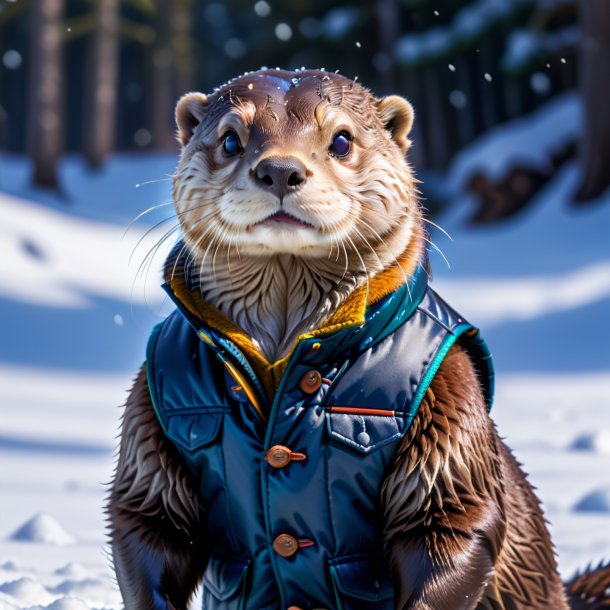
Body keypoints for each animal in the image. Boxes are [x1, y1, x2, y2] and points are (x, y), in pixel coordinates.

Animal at [108, 69, 608, 608]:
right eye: (230, 139)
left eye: (342, 140)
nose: (280, 169)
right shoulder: (150, 403)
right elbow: (148, 517)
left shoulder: (448, 395)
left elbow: (450, 520)